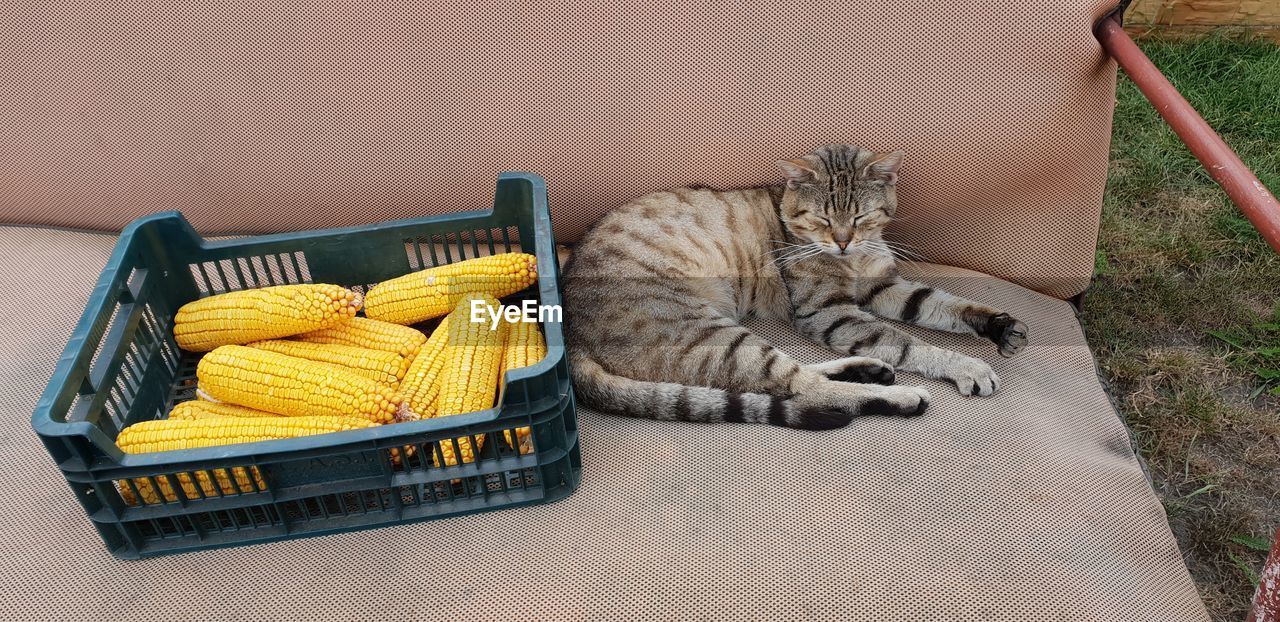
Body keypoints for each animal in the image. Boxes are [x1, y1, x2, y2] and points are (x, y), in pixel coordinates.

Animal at [565, 143, 1024, 430]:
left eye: (860, 217)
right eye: (823, 219)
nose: (842, 241)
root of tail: (570, 335)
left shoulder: (883, 286)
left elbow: (943, 304)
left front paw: (996, 325)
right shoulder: (829, 311)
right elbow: (910, 343)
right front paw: (967, 366)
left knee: (790, 378)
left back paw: (866, 369)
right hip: (706, 330)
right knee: (804, 388)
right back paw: (900, 396)